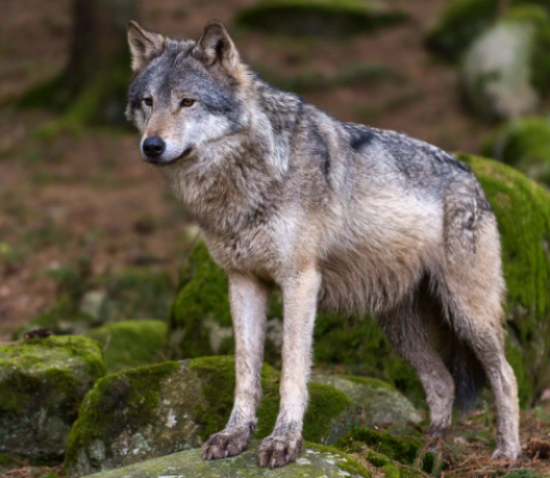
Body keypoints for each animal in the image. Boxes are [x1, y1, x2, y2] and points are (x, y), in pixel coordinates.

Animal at [125, 19, 520, 466]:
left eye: (188, 102)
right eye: (148, 102)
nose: (151, 146)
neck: (250, 176)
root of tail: (472, 177)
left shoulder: (300, 281)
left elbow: (293, 371)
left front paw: (284, 441)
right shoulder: (243, 282)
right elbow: (245, 371)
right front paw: (233, 435)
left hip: (467, 313)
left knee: (505, 375)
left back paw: (506, 452)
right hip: (400, 327)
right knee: (443, 382)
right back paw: (427, 451)